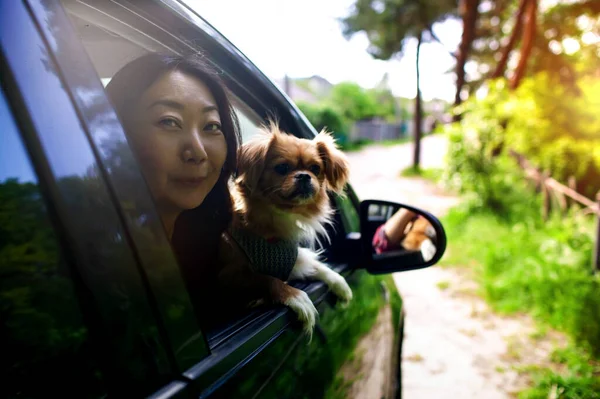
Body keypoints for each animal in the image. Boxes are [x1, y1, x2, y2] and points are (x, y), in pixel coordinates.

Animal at [219, 122, 352, 338]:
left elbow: (318, 266)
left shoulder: (293, 260)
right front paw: (296, 296)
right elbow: (265, 278)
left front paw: (340, 283)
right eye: (282, 168)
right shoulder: (226, 276)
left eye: (315, 168)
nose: (304, 176)